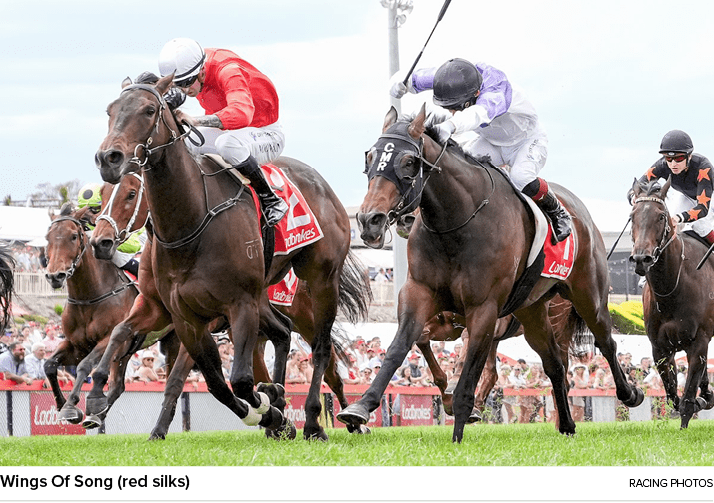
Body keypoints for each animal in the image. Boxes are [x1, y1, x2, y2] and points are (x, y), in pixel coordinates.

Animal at [43, 204, 142, 422]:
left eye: (73, 236)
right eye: (47, 237)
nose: (55, 276)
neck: (88, 298)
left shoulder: (110, 338)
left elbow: (85, 365)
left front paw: (71, 406)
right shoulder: (76, 345)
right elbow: (49, 365)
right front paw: (62, 404)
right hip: (124, 354)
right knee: (118, 385)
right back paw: (97, 416)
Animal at [94, 75, 370, 440]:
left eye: (149, 109)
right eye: (110, 110)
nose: (108, 158)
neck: (192, 221)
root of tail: (323, 184)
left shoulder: (240, 304)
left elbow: (237, 380)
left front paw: (271, 409)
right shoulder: (183, 316)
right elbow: (215, 383)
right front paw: (271, 410)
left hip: (320, 282)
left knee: (322, 350)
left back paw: (316, 421)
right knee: (283, 335)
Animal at [336, 105, 644, 440]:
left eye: (408, 162)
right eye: (370, 157)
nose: (370, 220)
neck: (455, 223)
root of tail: (581, 213)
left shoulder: (483, 309)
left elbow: (468, 370)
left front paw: (459, 428)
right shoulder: (419, 293)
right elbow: (401, 346)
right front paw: (360, 408)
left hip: (588, 294)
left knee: (605, 341)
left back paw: (630, 394)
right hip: (532, 311)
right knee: (554, 364)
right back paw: (566, 423)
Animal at [624, 179, 712, 428]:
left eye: (661, 216)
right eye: (632, 215)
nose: (641, 258)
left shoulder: (699, 341)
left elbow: (687, 398)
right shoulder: (660, 347)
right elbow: (673, 394)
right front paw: (703, 399)